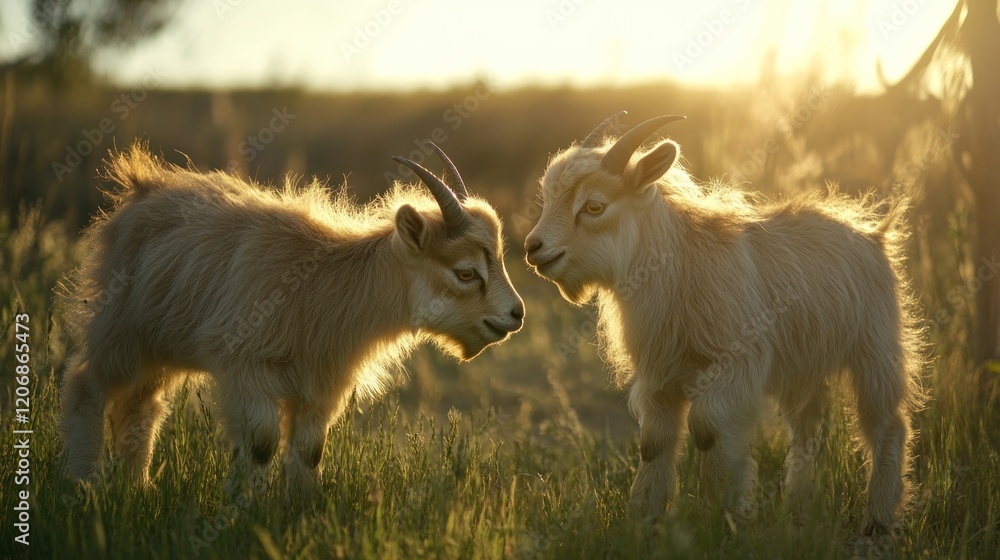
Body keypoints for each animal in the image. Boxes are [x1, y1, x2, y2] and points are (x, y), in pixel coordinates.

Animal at [59, 142, 524, 498]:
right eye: (465, 273)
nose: (515, 315)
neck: (326, 284)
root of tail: (141, 186)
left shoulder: (323, 383)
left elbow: (310, 449)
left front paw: (299, 508)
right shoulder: (246, 368)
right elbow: (262, 444)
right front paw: (242, 508)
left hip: (160, 345)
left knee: (142, 405)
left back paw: (137, 488)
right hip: (122, 330)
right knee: (87, 384)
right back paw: (80, 487)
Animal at [524, 113, 924, 535]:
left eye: (594, 206)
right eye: (548, 199)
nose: (533, 248)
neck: (679, 264)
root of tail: (873, 234)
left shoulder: (732, 364)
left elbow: (707, 429)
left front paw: (723, 515)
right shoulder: (658, 376)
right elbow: (653, 441)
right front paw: (645, 517)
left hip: (876, 349)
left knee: (888, 424)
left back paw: (878, 520)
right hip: (805, 367)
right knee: (807, 431)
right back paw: (798, 508)